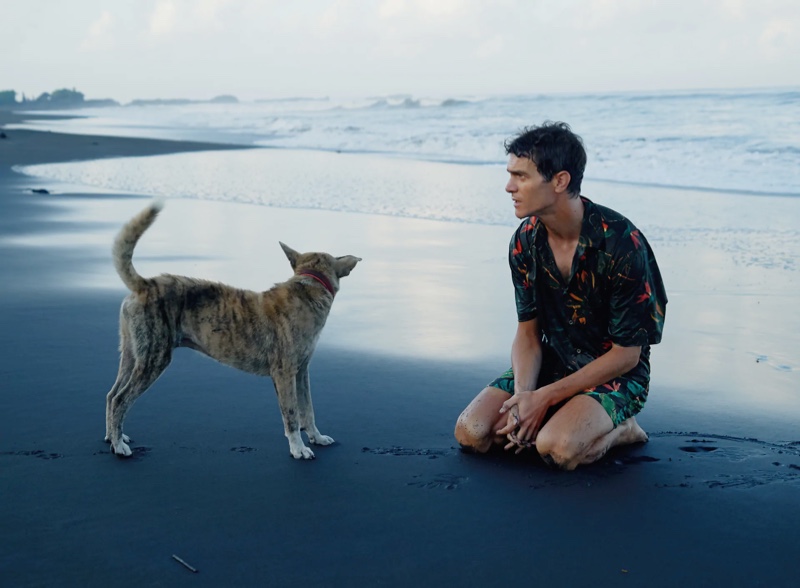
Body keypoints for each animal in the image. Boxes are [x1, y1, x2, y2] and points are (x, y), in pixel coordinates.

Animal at [104, 202, 360, 460]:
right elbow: (292, 415)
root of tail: (145, 284)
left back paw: (113, 437)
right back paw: (119, 445)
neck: (308, 288)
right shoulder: (285, 372)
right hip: (154, 358)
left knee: (111, 394)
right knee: (120, 399)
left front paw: (317, 437)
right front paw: (298, 448)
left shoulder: (302, 371)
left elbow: (308, 409)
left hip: (132, 354)